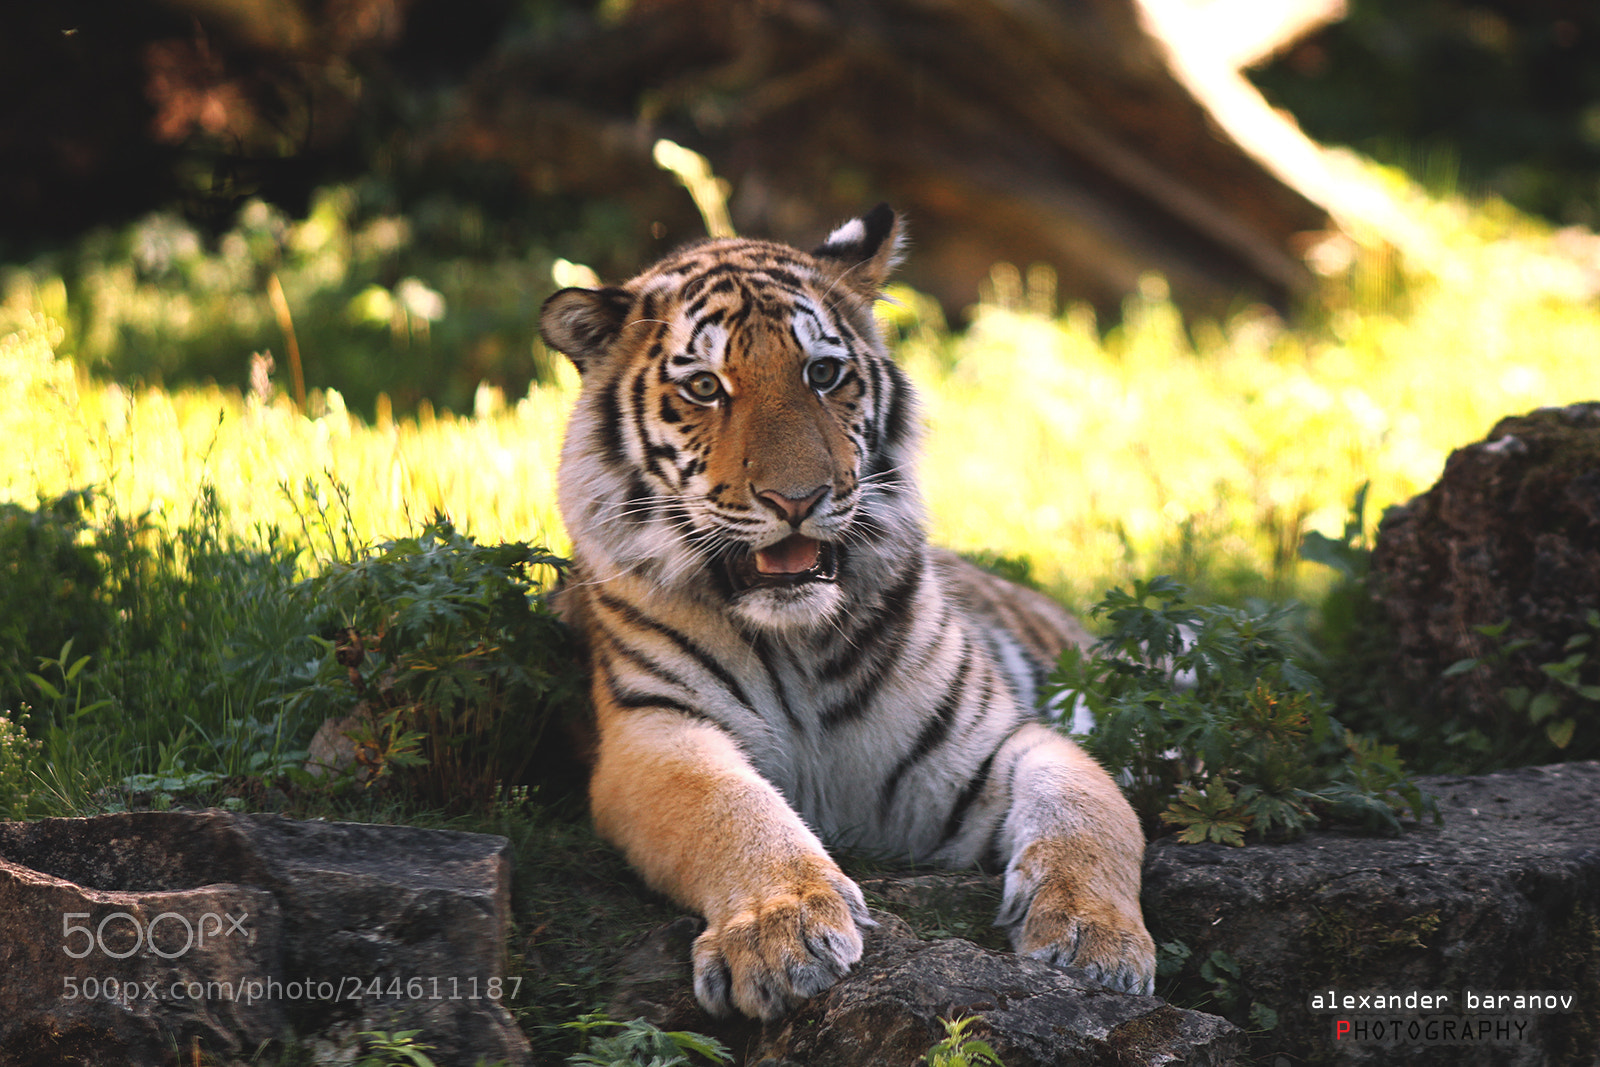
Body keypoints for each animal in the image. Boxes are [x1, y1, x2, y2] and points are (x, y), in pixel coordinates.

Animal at [539, 205, 1155, 1021]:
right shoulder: (653, 731)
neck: (797, 638)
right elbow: (727, 809)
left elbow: (1094, 810)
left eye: (822, 373)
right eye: (705, 387)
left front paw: (1094, 941)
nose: (797, 500)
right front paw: (782, 935)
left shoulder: (997, 744)